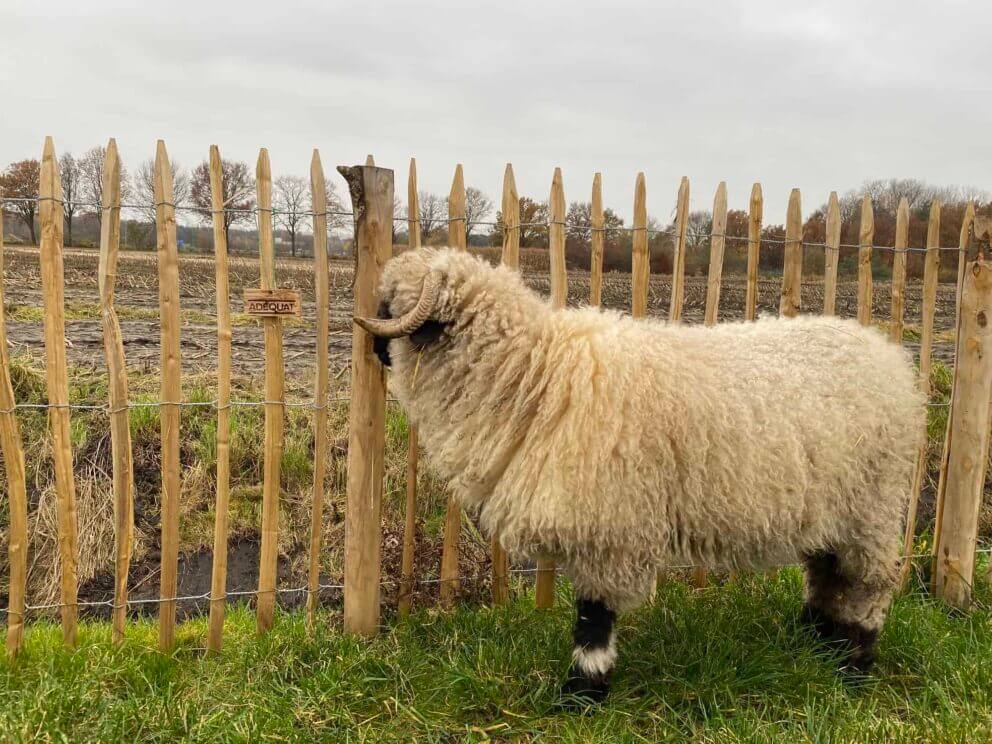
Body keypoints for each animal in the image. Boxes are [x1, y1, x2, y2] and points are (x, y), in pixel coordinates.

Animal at [354, 246, 924, 704]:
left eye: (389, 306)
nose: (373, 350)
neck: (532, 374)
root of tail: (890, 357)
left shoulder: (608, 526)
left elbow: (593, 617)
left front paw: (582, 694)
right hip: (834, 508)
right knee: (828, 572)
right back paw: (817, 641)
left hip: (873, 506)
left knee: (869, 585)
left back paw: (856, 665)